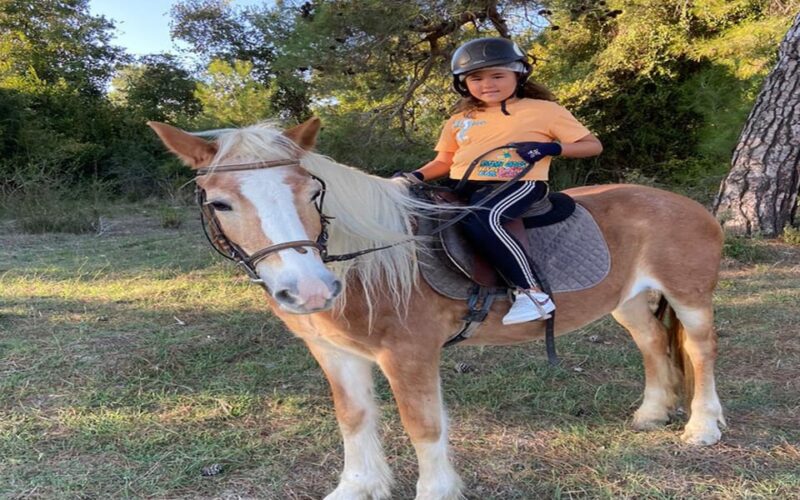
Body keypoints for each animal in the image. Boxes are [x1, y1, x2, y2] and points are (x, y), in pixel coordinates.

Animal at [148, 117, 726, 500]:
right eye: (220, 203)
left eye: (311, 193)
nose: (309, 291)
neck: (370, 261)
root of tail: (688, 204)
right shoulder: (334, 353)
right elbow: (353, 417)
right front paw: (358, 487)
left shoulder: (410, 355)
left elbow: (423, 426)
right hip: (628, 301)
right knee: (653, 345)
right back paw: (652, 413)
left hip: (690, 297)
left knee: (700, 352)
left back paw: (702, 427)